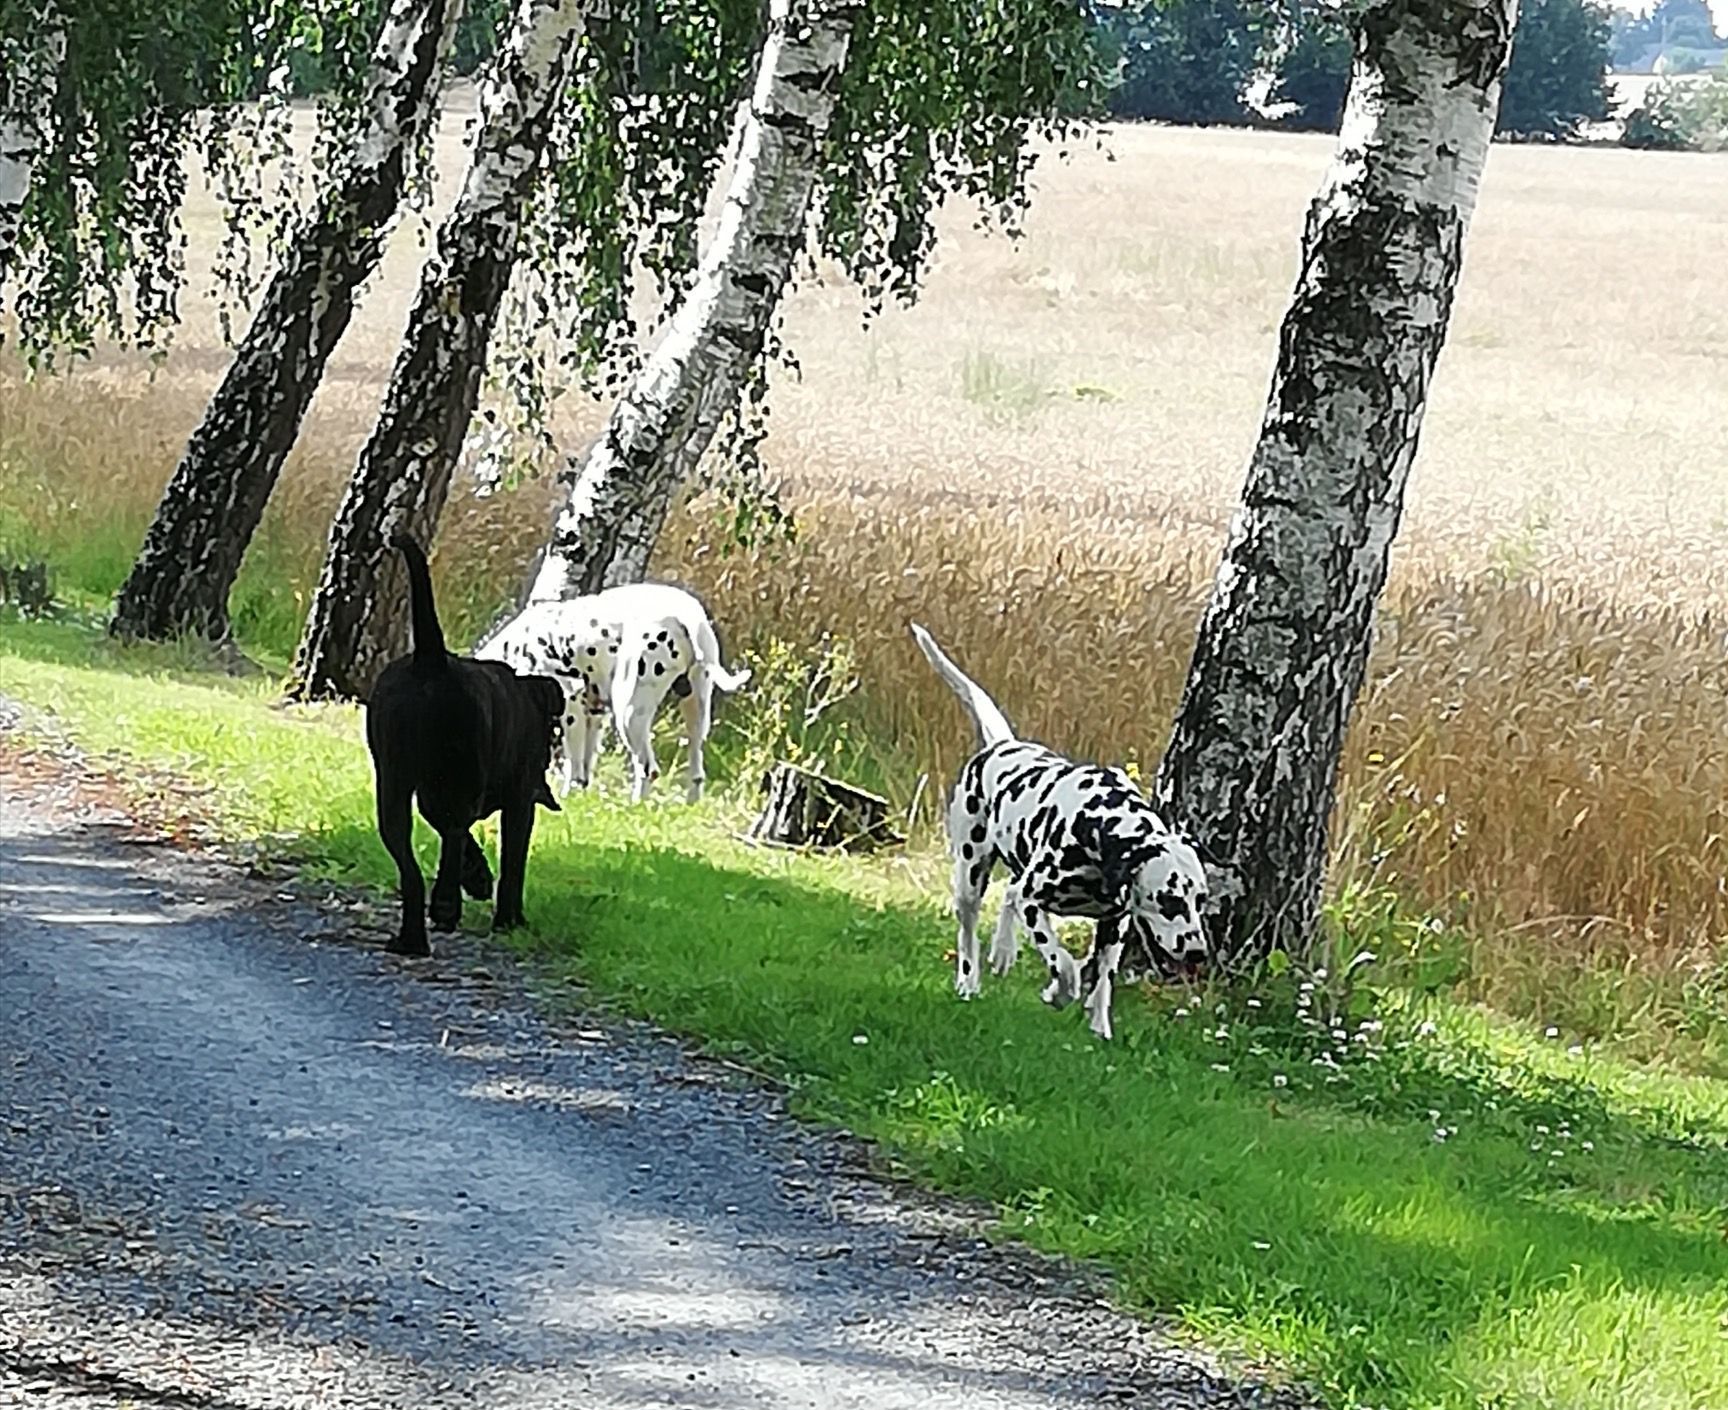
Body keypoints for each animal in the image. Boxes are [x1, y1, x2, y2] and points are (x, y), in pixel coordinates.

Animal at [368, 535, 563, 953]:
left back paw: (412, 938)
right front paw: (510, 919)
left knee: (412, 860)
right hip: (459, 777)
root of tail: (432, 660)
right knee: (456, 829)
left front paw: (477, 878)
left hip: (394, 781)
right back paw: (445, 907)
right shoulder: (521, 803)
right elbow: (513, 862)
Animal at [480, 584, 749, 805]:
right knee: (696, 771)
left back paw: (635, 807)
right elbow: (584, 766)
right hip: (696, 713)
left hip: (629, 715)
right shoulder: (594, 714)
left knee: (647, 768)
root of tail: (686, 611)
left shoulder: (572, 711)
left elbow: (573, 765)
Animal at [912, 622, 1209, 1043]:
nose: (1198, 952)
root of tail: (1002, 745)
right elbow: (1062, 960)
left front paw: (1100, 1025)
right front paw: (1059, 990)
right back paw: (969, 983)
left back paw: (1003, 950)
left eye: (1201, 899)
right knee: (970, 932)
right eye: (1168, 900)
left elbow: (1103, 977)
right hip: (970, 874)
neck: (1097, 826)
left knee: (1008, 894)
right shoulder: (1034, 902)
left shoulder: (1115, 923)